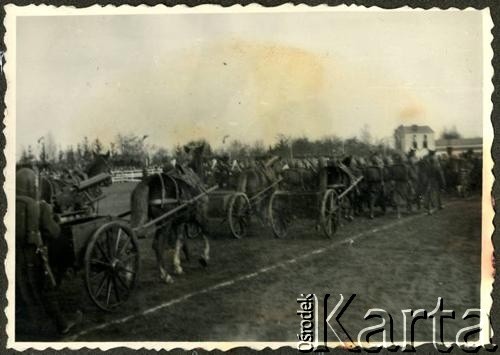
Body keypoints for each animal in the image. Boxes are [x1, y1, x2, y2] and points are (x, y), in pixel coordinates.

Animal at [130, 143, 210, 286]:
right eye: (204, 158)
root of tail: (149, 181)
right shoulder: (200, 215)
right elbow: (205, 232)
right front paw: (204, 257)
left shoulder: (179, 222)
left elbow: (179, 240)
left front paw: (177, 266)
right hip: (164, 222)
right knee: (157, 245)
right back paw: (165, 275)